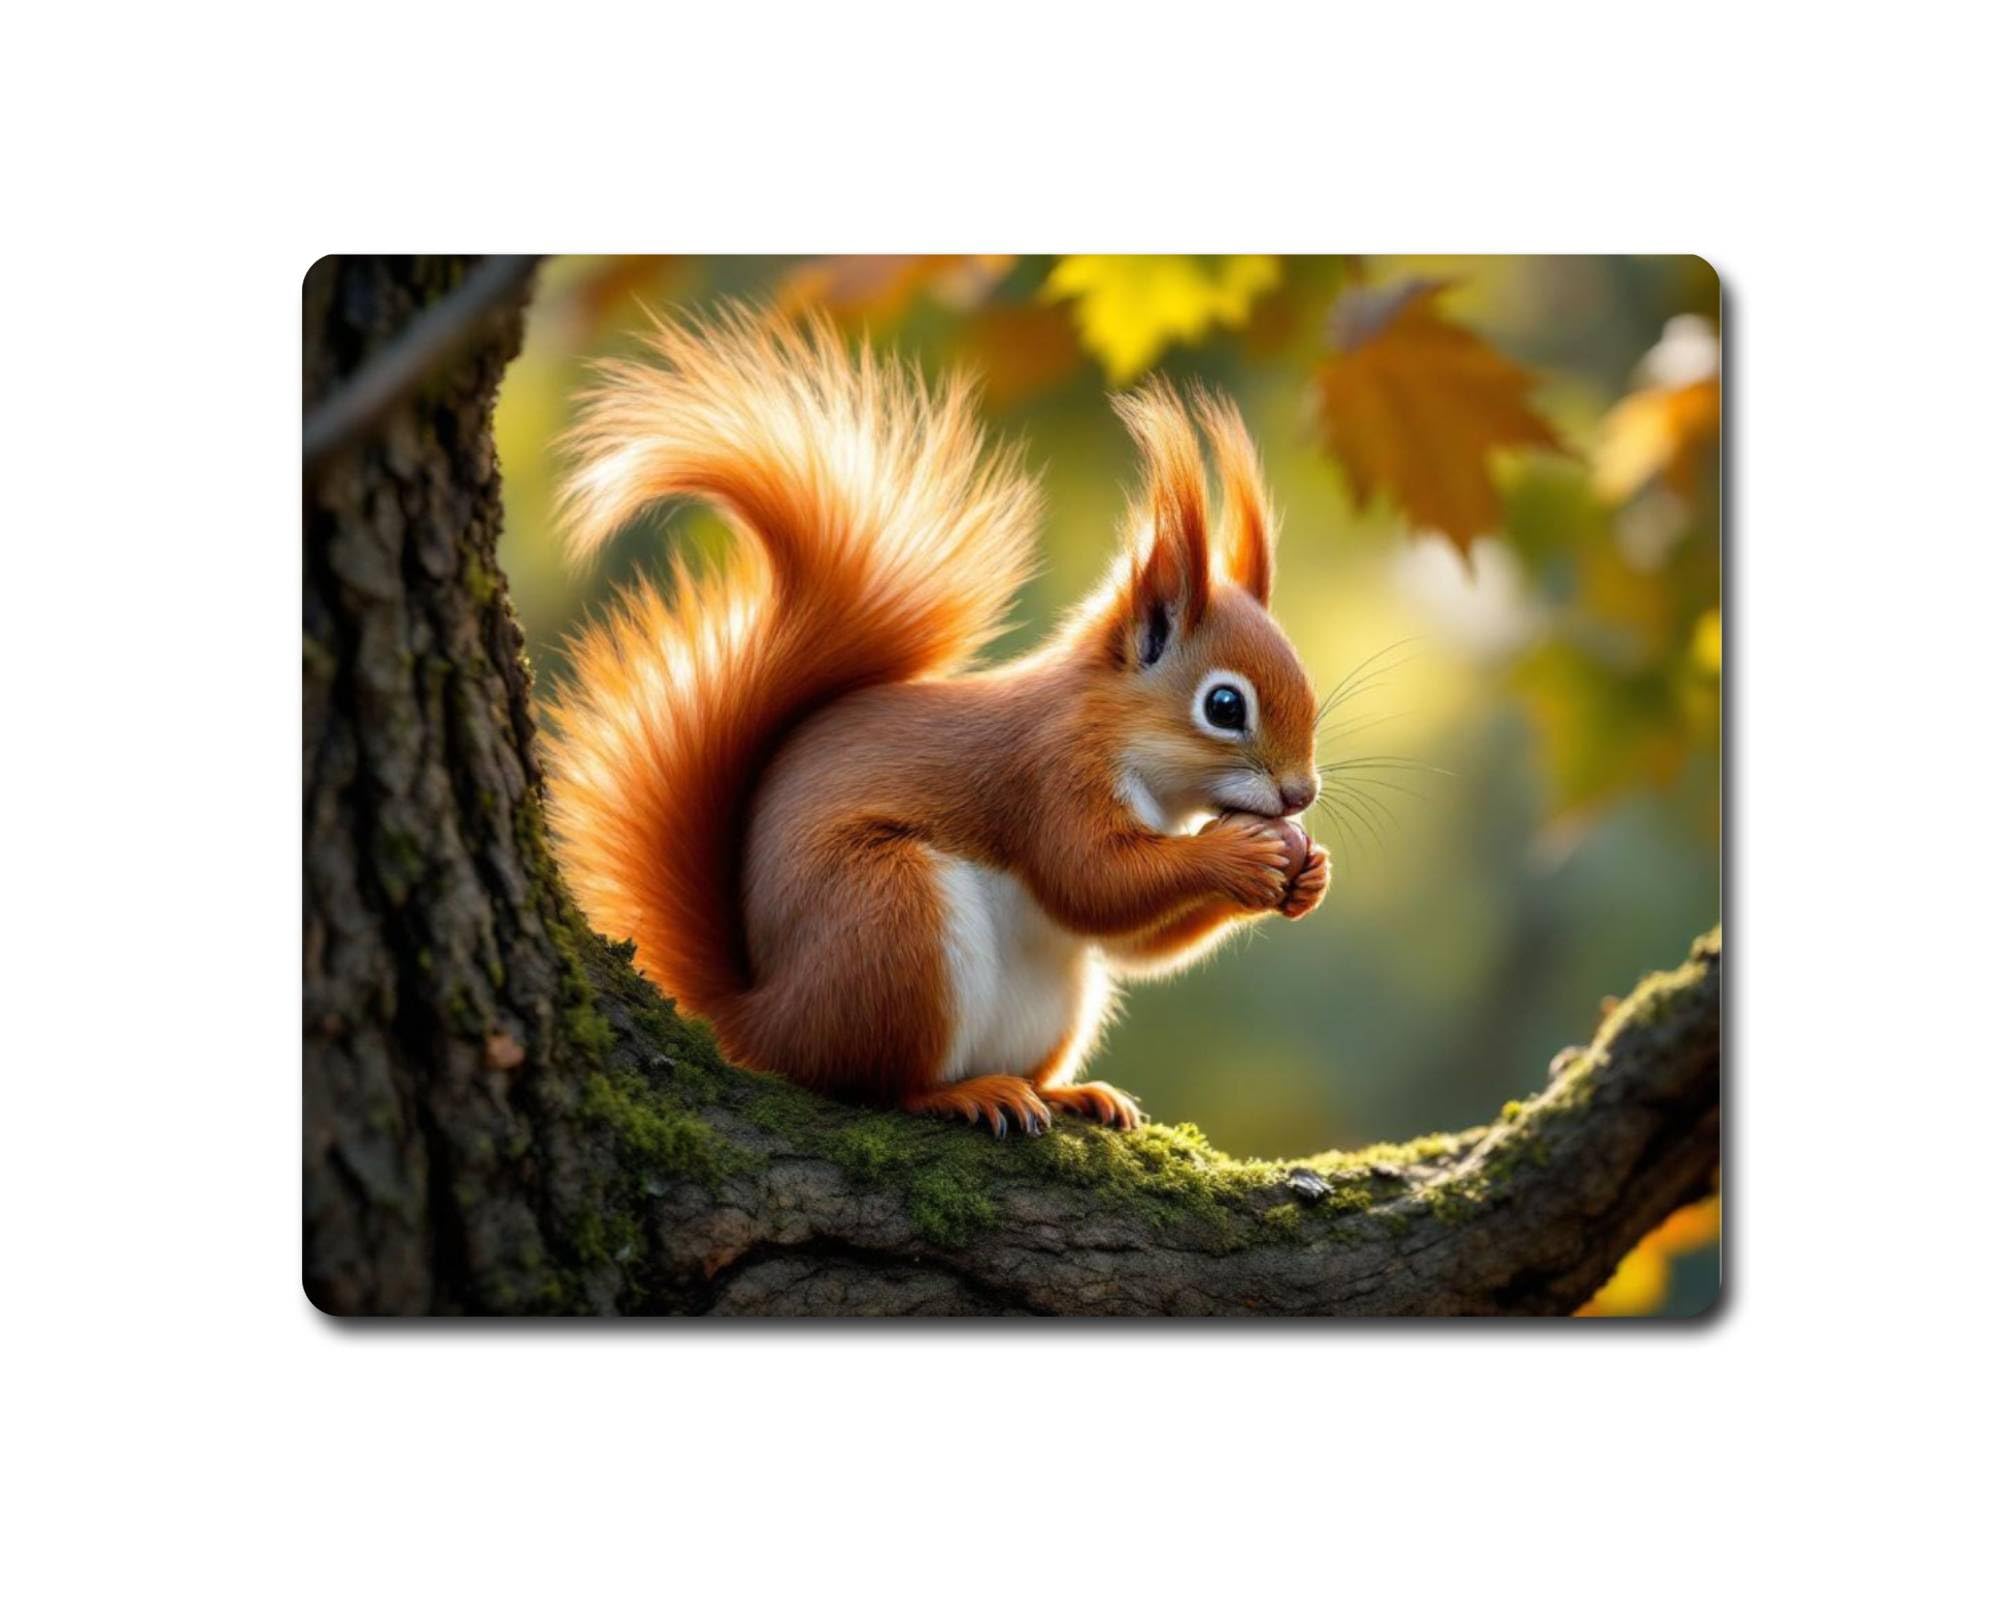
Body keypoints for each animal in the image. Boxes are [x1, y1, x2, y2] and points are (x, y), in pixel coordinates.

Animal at [545, 309, 1328, 1137]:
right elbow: (1092, 883)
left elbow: (1134, 944)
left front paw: (1307, 873)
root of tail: (761, 1019)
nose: (1300, 795)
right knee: (876, 1081)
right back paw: (965, 1094)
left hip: (1049, 999)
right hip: (892, 921)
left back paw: (1068, 1092)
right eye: (1224, 706)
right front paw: (1236, 855)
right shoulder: (1047, 775)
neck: (1120, 741)